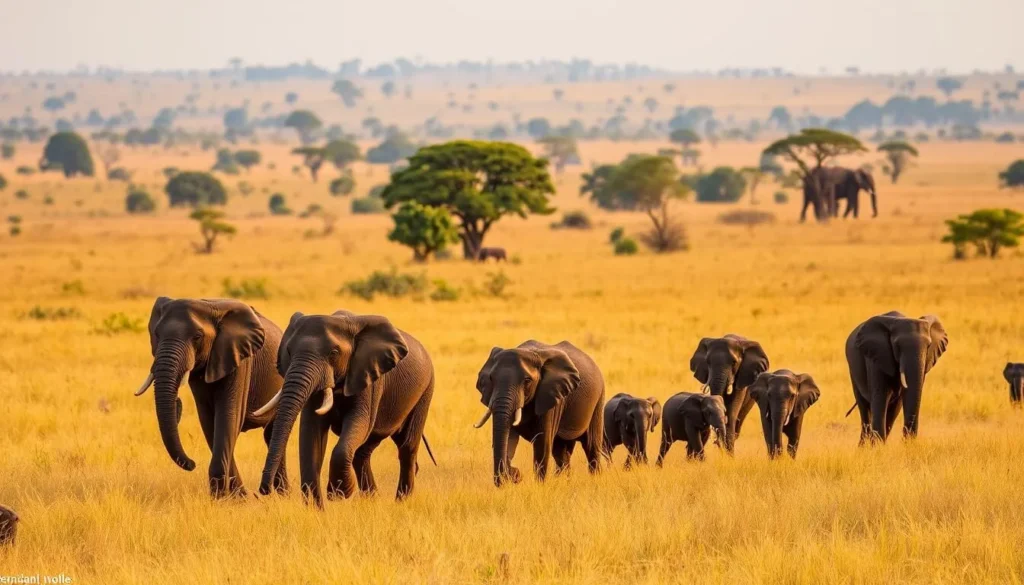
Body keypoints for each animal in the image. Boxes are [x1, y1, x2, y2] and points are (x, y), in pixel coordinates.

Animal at [135, 297, 287, 498]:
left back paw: (282, 494)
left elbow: (229, 417)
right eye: (157, 334)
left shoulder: (239, 359)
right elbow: (208, 421)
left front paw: (229, 497)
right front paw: (234, 496)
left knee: (273, 432)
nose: (192, 464)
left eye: (197, 337)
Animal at [254, 310, 435, 507]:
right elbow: (311, 434)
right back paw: (372, 499)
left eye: (334, 353)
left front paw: (339, 493)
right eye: (288, 351)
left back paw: (401, 502)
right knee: (363, 450)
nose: (263, 491)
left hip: (425, 390)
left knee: (407, 447)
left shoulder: (368, 376)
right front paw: (316, 509)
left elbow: (359, 421)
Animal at [473, 340, 605, 486]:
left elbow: (542, 443)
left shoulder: (551, 396)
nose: (517, 475)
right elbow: (509, 439)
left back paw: (595, 480)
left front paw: (538, 485)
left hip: (598, 399)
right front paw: (514, 474)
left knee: (591, 446)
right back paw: (564, 481)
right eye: (491, 378)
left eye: (527, 381)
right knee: (561, 451)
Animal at [846, 311, 949, 443]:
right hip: (853, 371)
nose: (907, 441)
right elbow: (881, 396)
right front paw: (877, 446)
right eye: (897, 346)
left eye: (929, 346)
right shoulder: (876, 356)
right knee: (864, 409)